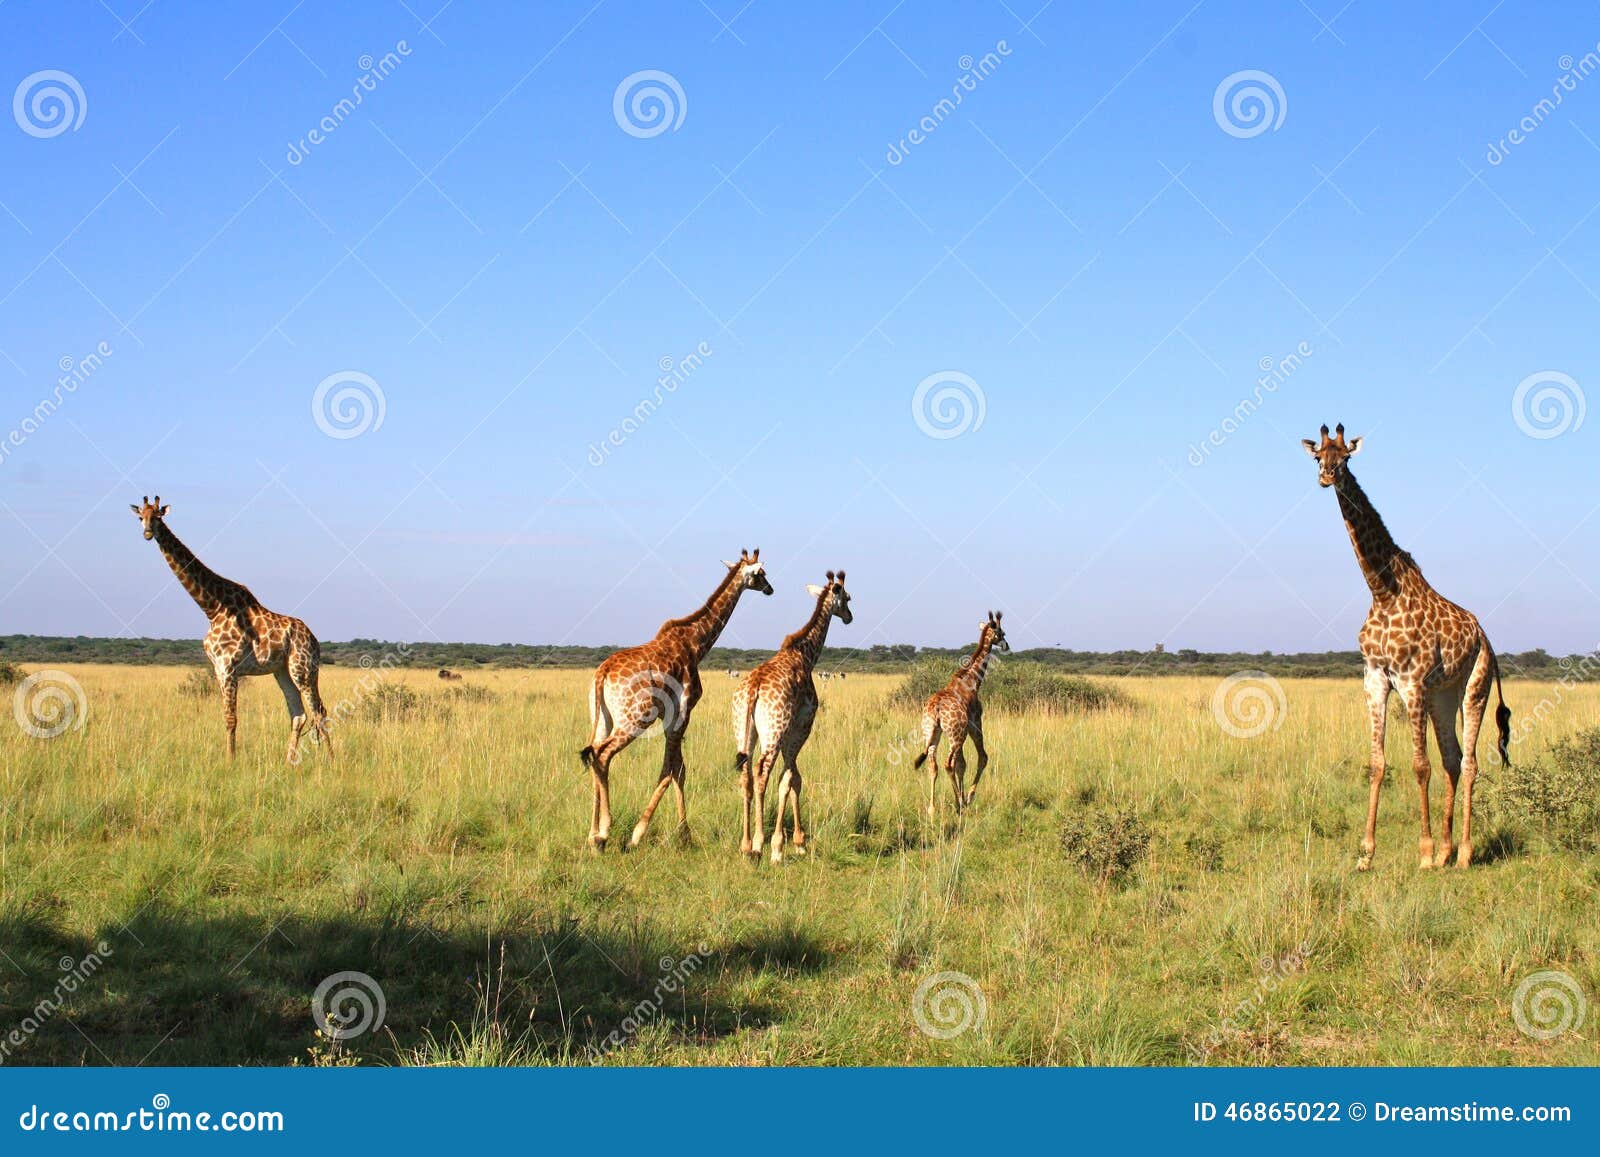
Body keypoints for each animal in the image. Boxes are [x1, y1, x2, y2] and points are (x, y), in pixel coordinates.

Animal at [131, 497, 332, 763]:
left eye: (157, 516)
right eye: (140, 516)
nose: (147, 533)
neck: (212, 607)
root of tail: (315, 640)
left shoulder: (228, 667)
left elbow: (231, 719)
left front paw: (230, 761)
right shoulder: (218, 668)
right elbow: (226, 716)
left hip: (304, 669)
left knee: (320, 711)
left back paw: (332, 759)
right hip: (282, 671)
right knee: (298, 714)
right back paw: (289, 761)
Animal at [579, 549, 773, 852]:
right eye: (761, 573)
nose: (770, 589)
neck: (696, 643)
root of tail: (602, 674)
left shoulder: (671, 716)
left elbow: (678, 769)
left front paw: (684, 833)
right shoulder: (682, 711)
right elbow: (671, 770)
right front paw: (641, 833)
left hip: (602, 718)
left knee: (594, 753)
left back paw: (591, 834)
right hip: (634, 718)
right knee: (603, 754)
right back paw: (603, 833)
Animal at [733, 569, 853, 862]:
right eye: (847, 597)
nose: (849, 616)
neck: (805, 654)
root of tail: (753, 689)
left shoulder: (790, 733)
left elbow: (792, 778)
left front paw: (795, 841)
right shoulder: (801, 727)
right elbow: (790, 779)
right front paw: (784, 844)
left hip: (743, 731)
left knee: (746, 775)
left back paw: (745, 844)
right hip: (773, 733)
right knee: (762, 773)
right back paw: (758, 843)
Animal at [913, 611, 1009, 815]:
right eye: (1002, 632)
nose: (1006, 645)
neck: (971, 681)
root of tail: (936, 709)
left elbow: (962, 765)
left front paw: (963, 797)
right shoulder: (975, 723)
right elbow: (982, 758)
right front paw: (968, 797)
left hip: (932, 733)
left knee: (934, 765)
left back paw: (932, 808)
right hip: (955, 734)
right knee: (948, 763)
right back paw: (960, 804)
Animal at [1302, 425, 1511, 870]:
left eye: (1346, 457)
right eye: (1318, 457)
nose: (1327, 477)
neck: (1382, 592)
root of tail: (1486, 638)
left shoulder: (1411, 681)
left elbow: (1419, 765)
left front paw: (1425, 853)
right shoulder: (1375, 679)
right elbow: (1378, 763)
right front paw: (1366, 853)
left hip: (1475, 687)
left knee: (1470, 762)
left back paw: (1462, 853)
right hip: (1443, 695)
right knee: (1452, 759)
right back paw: (1449, 849)